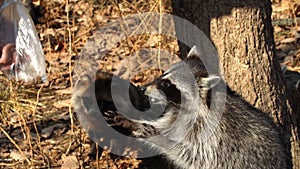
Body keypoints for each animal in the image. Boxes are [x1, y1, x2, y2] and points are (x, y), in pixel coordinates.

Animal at [104, 46, 290, 169]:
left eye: (167, 84)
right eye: (163, 76)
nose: (143, 88)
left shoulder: (207, 135)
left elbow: (184, 150)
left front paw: (145, 130)